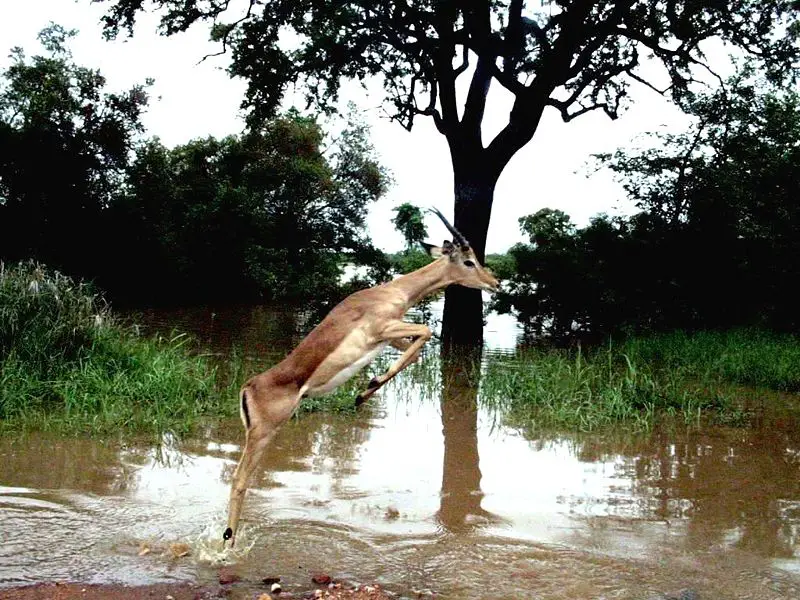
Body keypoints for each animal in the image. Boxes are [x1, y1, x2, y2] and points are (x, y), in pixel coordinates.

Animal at [222, 209, 499, 545]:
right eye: (468, 261)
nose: (495, 282)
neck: (393, 291)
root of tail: (249, 387)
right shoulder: (382, 330)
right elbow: (426, 331)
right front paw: (366, 389)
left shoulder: (390, 339)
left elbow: (416, 350)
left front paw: (365, 390)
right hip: (264, 433)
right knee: (239, 481)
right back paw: (227, 544)